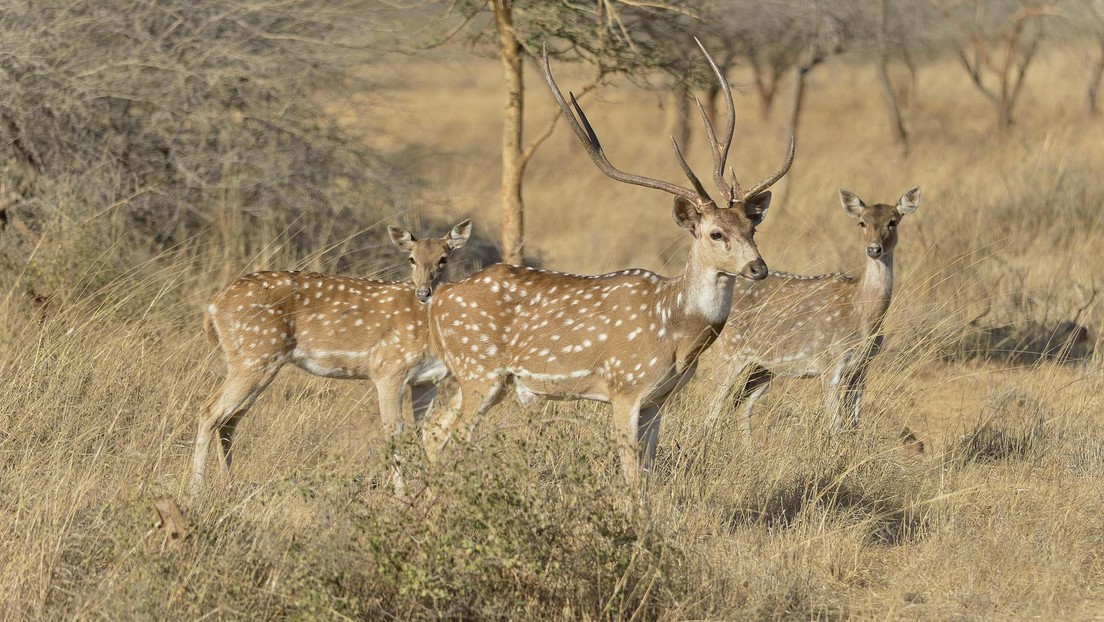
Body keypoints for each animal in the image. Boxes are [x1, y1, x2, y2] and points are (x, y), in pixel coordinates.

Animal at [192, 218, 472, 497]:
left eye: (443, 258)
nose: (424, 292)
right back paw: (197, 489)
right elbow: (394, 431)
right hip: (255, 356)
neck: (429, 333)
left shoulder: (425, 380)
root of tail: (212, 308)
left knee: (229, 419)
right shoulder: (388, 370)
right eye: (411, 259)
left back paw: (228, 483)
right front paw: (401, 495)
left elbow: (425, 430)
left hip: (255, 362)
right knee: (210, 410)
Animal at [419, 43, 794, 488]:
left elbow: (648, 472)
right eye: (715, 233)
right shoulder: (625, 386)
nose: (758, 268)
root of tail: (438, 300)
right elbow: (631, 474)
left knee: (433, 429)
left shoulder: (657, 400)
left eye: (752, 227)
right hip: (479, 370)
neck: (675, 329)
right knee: (454, 435)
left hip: (477, 377)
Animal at [702, 187, 918, 435]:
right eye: (862, 222)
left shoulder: (863, 367)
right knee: (713, 406)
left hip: (763, 366)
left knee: (741, 405)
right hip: (728, 350)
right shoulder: (829, 361)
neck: (862, 315)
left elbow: (854, 424)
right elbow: (836, 425)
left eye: (893, 221)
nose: (874, 249)